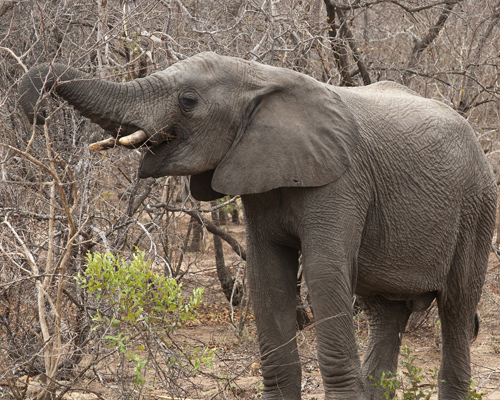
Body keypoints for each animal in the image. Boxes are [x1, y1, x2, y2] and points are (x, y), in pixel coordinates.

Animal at [18, 53, 496, 400]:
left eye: (188, 100)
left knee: (456, 307)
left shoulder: (341, 181)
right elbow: (267, 279)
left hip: (478, 208)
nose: (38, 112)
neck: (260, 77)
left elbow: (324, 274)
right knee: (386, 312)